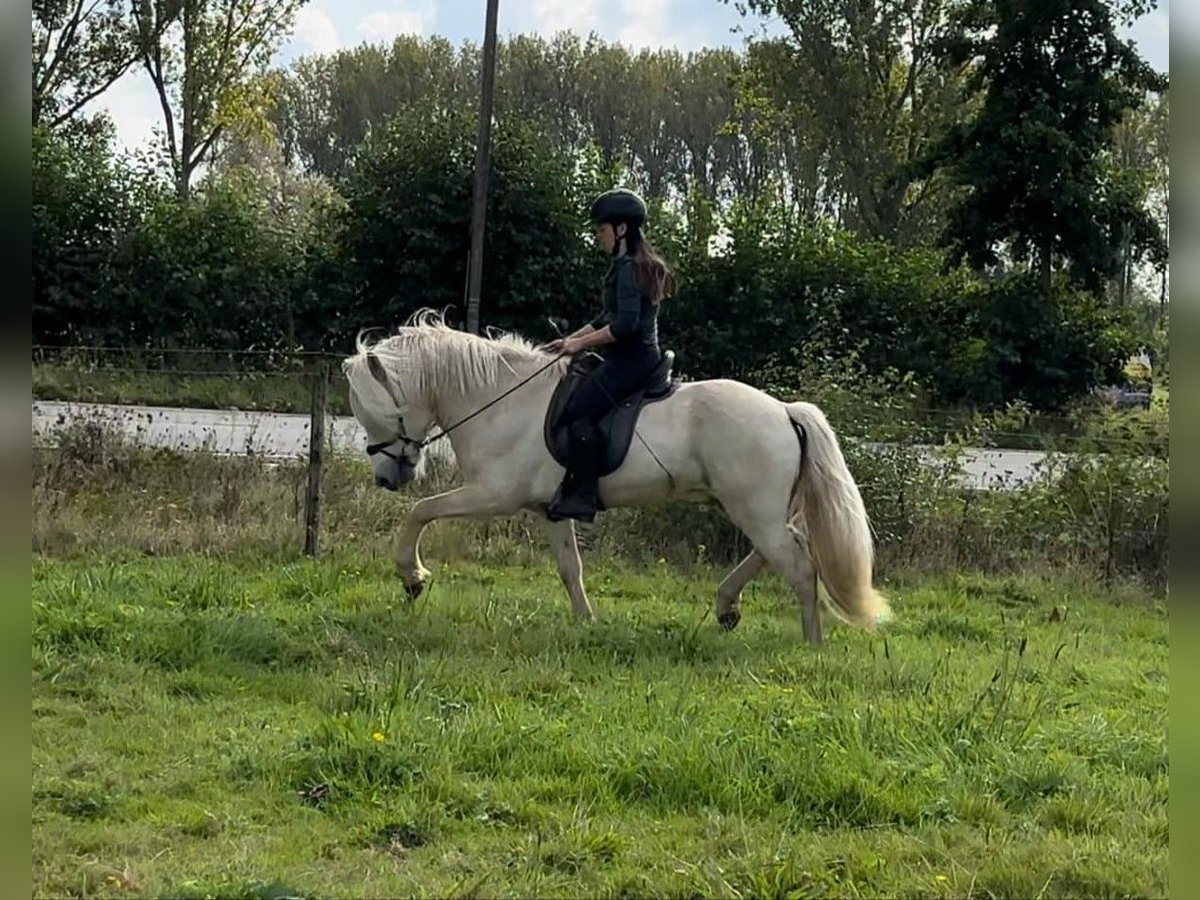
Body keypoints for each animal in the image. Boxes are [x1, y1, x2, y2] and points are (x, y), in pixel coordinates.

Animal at [343, 312, 888, 648]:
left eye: (380, 415)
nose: (387, 478)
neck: (501, 400)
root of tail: (783, 410)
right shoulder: (548, 508)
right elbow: (570, 568)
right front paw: (587, 622)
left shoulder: (492, 495)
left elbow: (421, 512)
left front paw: (413, 578)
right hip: (756, 507)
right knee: (779, 551)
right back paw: (728, 607)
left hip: (754, 507)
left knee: (798, 565)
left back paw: (811, 644)